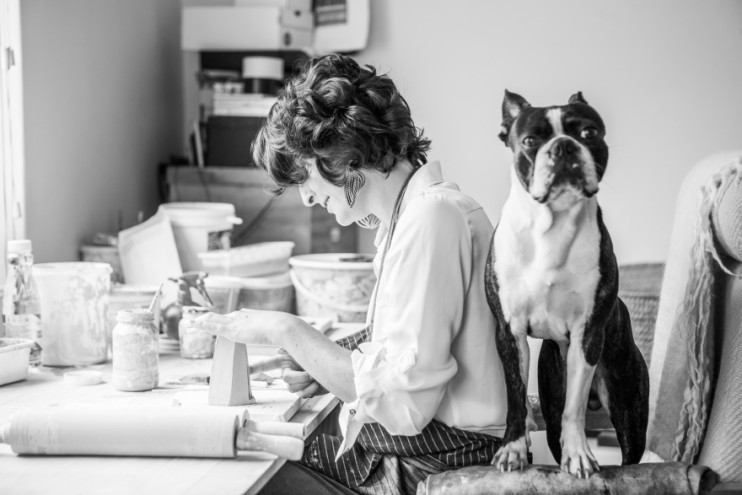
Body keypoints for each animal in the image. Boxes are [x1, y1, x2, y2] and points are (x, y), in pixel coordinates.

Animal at [486, 91, 648, 478]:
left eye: (588, 132)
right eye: (530, 140)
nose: (563, 147)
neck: (552, 224)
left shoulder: (587, 334)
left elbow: (573, 408)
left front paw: (580, 456)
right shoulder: (509, 333)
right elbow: (516, 399)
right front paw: (513, 450)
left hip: (628, 404)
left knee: (629, 456)